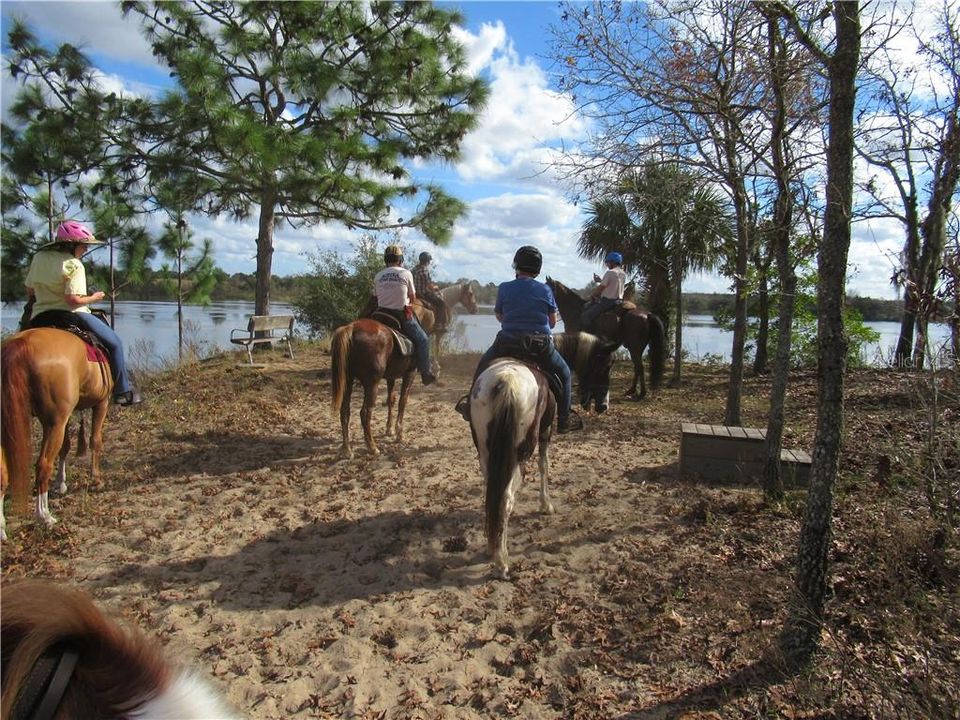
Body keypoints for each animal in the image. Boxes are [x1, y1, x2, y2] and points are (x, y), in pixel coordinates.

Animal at [1, 328, 112, 540]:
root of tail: (22, 344)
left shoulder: (65, 417)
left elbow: (65, 447)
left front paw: (61, 483)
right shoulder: (101, 403)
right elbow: (95, 440)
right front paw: (96, 479)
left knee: (3, 473)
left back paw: (2, 529)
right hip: (54, 423)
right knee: (43, 465)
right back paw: (44, 515)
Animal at [330, 300, 436, 458]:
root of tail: (351, 328)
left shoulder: (390, 377)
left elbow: (390, 400)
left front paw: (389, 429)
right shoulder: (410, 374)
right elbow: (402, 401)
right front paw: (399, 434)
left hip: (348, 381)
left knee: (345, 411)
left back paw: (346, 449)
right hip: (372, 384)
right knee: (365, 413)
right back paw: (372, 447)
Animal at [470, 334, 620, 580]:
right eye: (605, 365)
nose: (603, 406)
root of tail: (506, 382)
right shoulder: (546, 431)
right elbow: (544, 465)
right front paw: (546, 505)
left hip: (484, 448)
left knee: (494, 494)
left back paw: (492, 548)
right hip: (521, 451)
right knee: (507, 498)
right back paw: (502, 562)